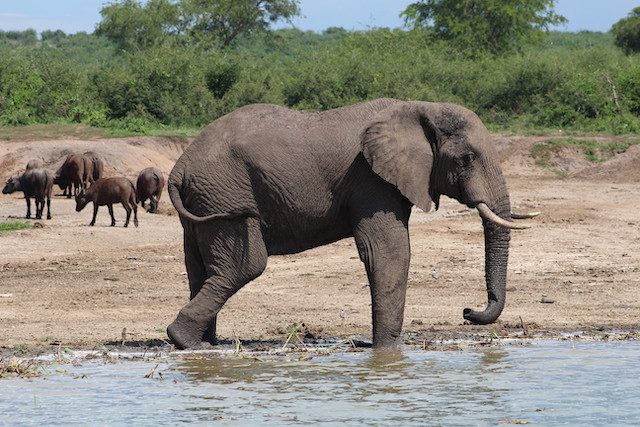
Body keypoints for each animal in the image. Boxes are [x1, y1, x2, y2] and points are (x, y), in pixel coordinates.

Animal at [166, 99, 536, 352]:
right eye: (467, 159)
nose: (468, 310)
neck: (419, 108)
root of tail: (179, 166)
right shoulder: (371, 180)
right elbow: (389, 253)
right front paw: (387, 351)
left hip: (206, 199)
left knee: (200, 268)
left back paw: (205, 345)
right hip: (225, 195)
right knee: (245, 265)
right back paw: (188, 343)